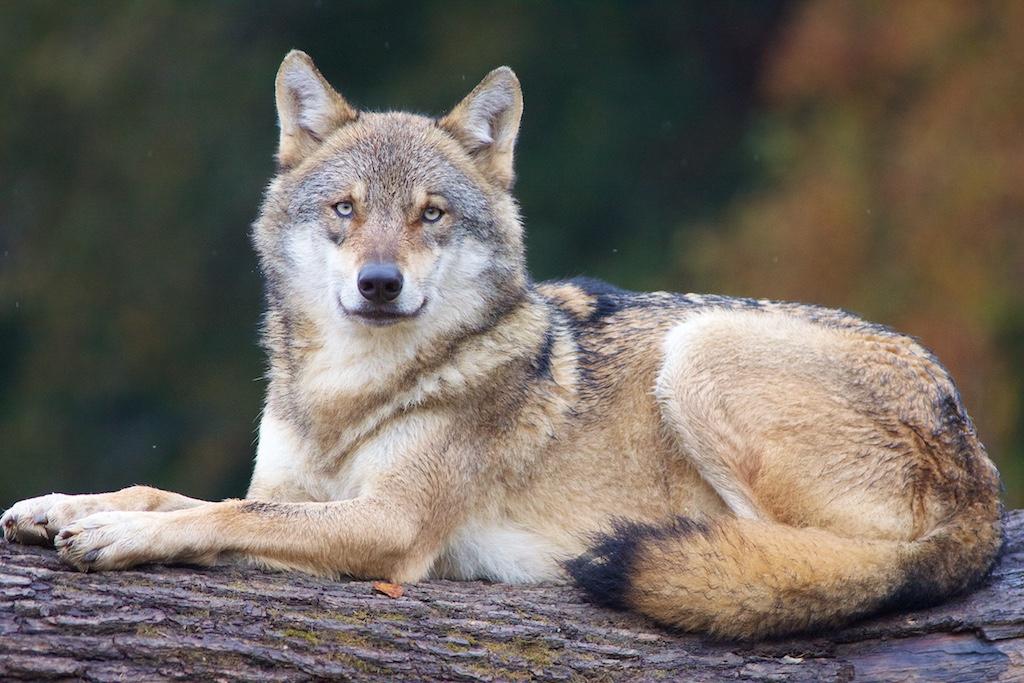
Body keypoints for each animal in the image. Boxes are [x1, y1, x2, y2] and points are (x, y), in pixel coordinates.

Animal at [2, 50, 999, 638]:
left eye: (431, 214)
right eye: (345, 210)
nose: (379, 284)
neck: (347, 396)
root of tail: (982, 484)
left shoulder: (389, 523)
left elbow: (223, 514)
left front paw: (120, 533)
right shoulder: (297, 482)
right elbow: (183, 490)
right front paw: (63, 504)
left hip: (702, 348)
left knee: (814, 560)